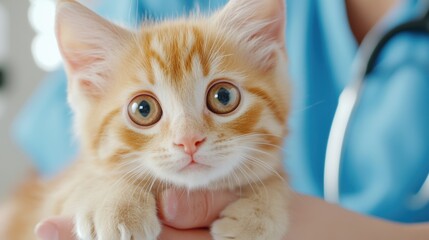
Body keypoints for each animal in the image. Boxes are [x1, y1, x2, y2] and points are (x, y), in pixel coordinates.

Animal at [1, 0, 290, 239]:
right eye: (143, 109)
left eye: (224, 96)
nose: (189, 140)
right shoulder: (44, 205)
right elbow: (80, 181)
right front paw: (115, 200)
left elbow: (275, 178)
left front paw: (260, 212)